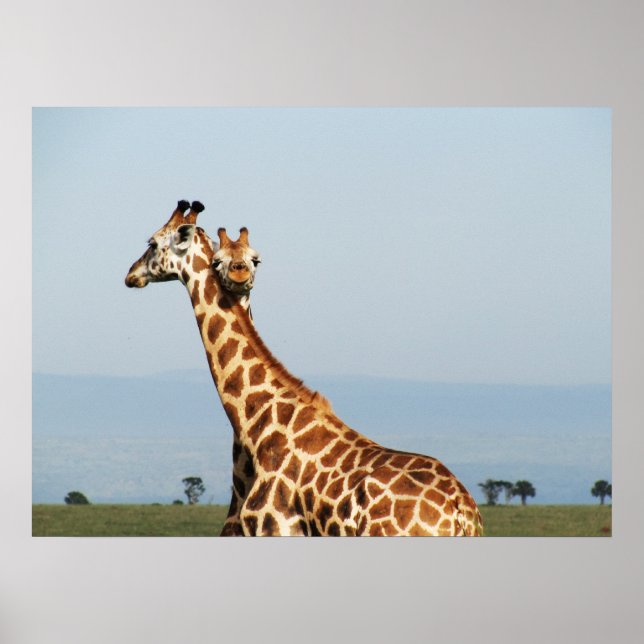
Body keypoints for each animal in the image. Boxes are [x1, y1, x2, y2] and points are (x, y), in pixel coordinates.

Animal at [125, 201, 483, 536]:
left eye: (152, 243)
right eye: (218, 260)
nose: (131, 274)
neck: (258, 424)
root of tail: (462, 512)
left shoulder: (274, 527)